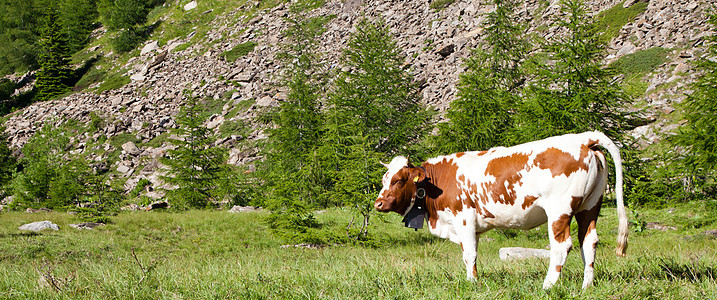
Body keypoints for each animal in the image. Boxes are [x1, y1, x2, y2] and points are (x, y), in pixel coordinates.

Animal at [374, 131, 628, 288]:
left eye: (397, 180)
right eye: (384, 179)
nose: (378, 203)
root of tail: (584, 138)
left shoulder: (463, 218)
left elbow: (469, 254)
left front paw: (472, 283)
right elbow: (471, 254)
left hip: (559, 209)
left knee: (561, 245)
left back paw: (548, 285)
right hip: (590, 206)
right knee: (589, 242)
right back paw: (587, 286)